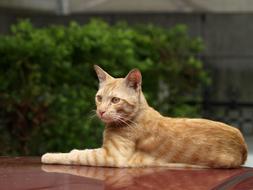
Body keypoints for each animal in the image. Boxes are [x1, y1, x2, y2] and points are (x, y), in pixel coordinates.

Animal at [41, 65, 247, 168]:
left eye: (115, 100)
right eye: (99, 98)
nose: (101, 111)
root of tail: (244, 148)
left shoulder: (112, 156)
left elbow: (77, 154)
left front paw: (50, 155)